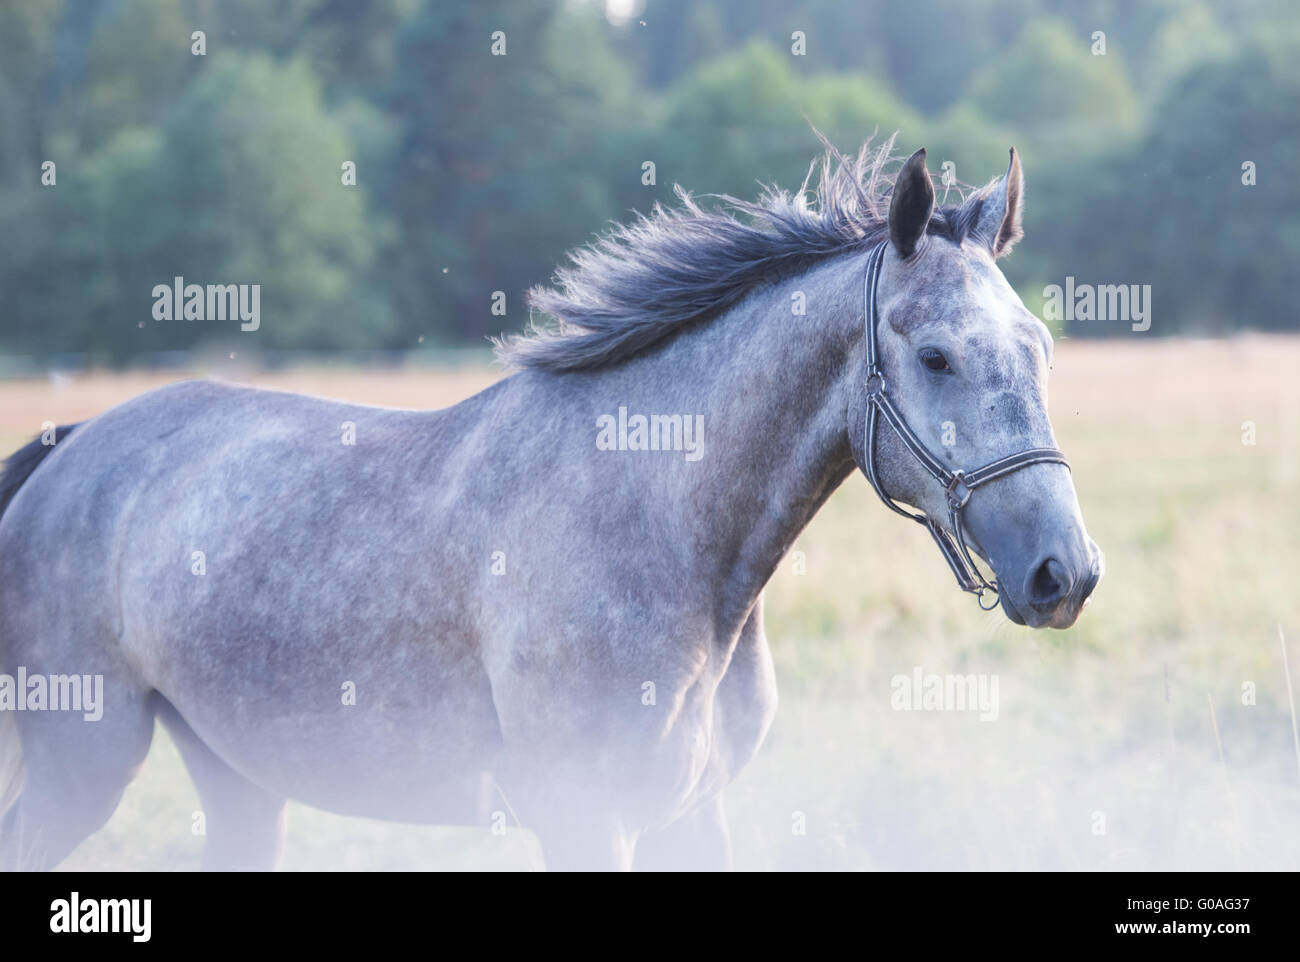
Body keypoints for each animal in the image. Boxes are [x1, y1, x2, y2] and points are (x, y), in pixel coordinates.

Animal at [0, 137, 1102, 873]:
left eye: (1042, 349)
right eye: (937, 356)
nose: (1065, 573)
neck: (669, 542)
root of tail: (67, 451)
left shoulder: (691, 817)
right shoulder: (584, 819)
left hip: (236, 780)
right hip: (78, 769)